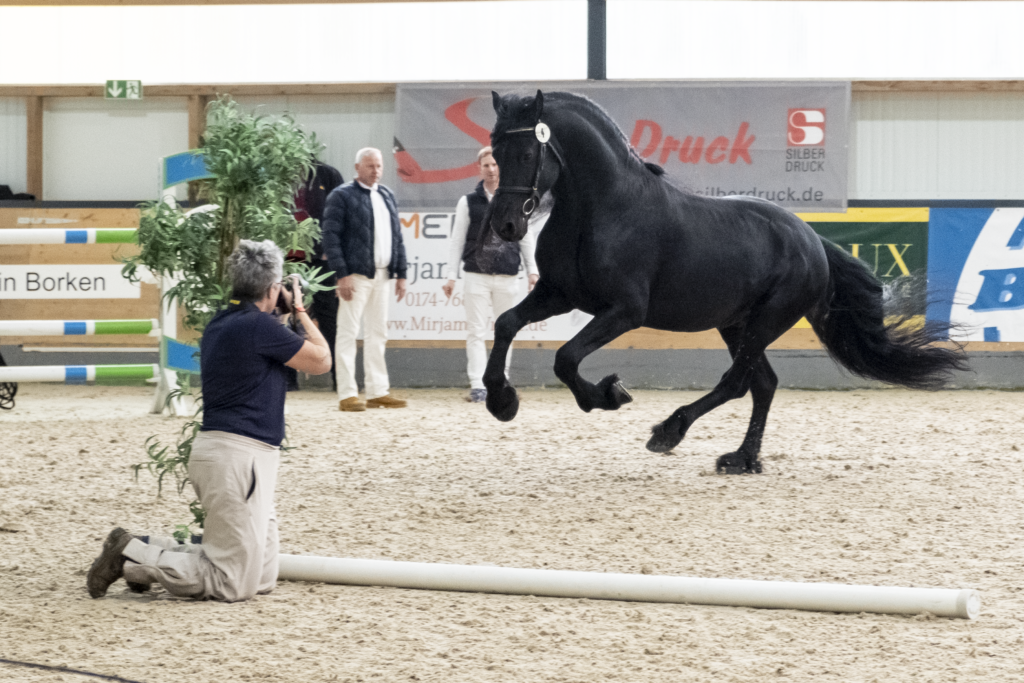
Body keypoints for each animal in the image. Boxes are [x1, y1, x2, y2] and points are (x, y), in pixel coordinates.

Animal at [479, 89, 966, 475]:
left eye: (527, 154)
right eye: (495, 154)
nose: (504, 226)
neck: (602, 209)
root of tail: (811, 239)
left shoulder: (624, 312)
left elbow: (565, 357)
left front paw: (608, 395)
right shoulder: (558, 294)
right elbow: (506, 323)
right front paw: (502, 401)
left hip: (765, 321)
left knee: (738, 382)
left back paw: (670, 431)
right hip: (737, 324)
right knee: (762, 383)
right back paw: (742, 459)